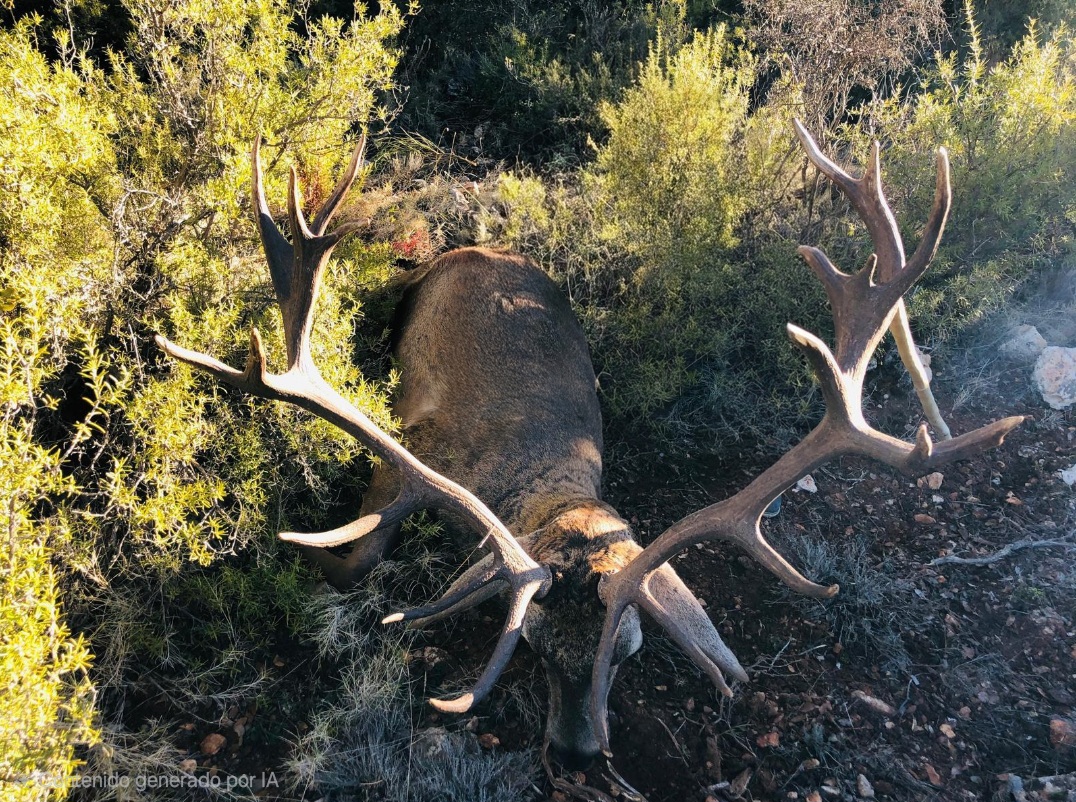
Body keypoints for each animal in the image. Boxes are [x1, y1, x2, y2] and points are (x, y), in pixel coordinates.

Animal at [155, 122, 1024, 783]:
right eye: (534, 648)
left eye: (629, 650)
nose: (575, 758)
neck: (552, 490)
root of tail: (485, 248)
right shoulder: (410, 449)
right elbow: (356, 559)